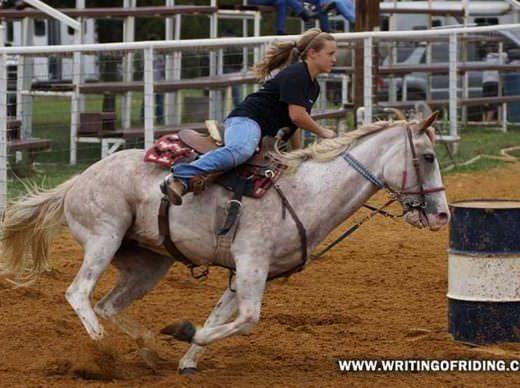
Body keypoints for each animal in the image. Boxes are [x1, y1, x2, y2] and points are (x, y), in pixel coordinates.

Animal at [0, 113, 448, 374]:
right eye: (427, 157)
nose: (443, 215)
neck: (306, 192)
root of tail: (77, 181)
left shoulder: (246, 272)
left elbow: (221, 317)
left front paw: (186, 356)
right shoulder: (251, 263)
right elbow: (247, 320)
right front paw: (184, 333)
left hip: (148, 264)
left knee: (108, 305)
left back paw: (147, 350)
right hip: (103, 238)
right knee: (79, 294)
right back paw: (103, 352)